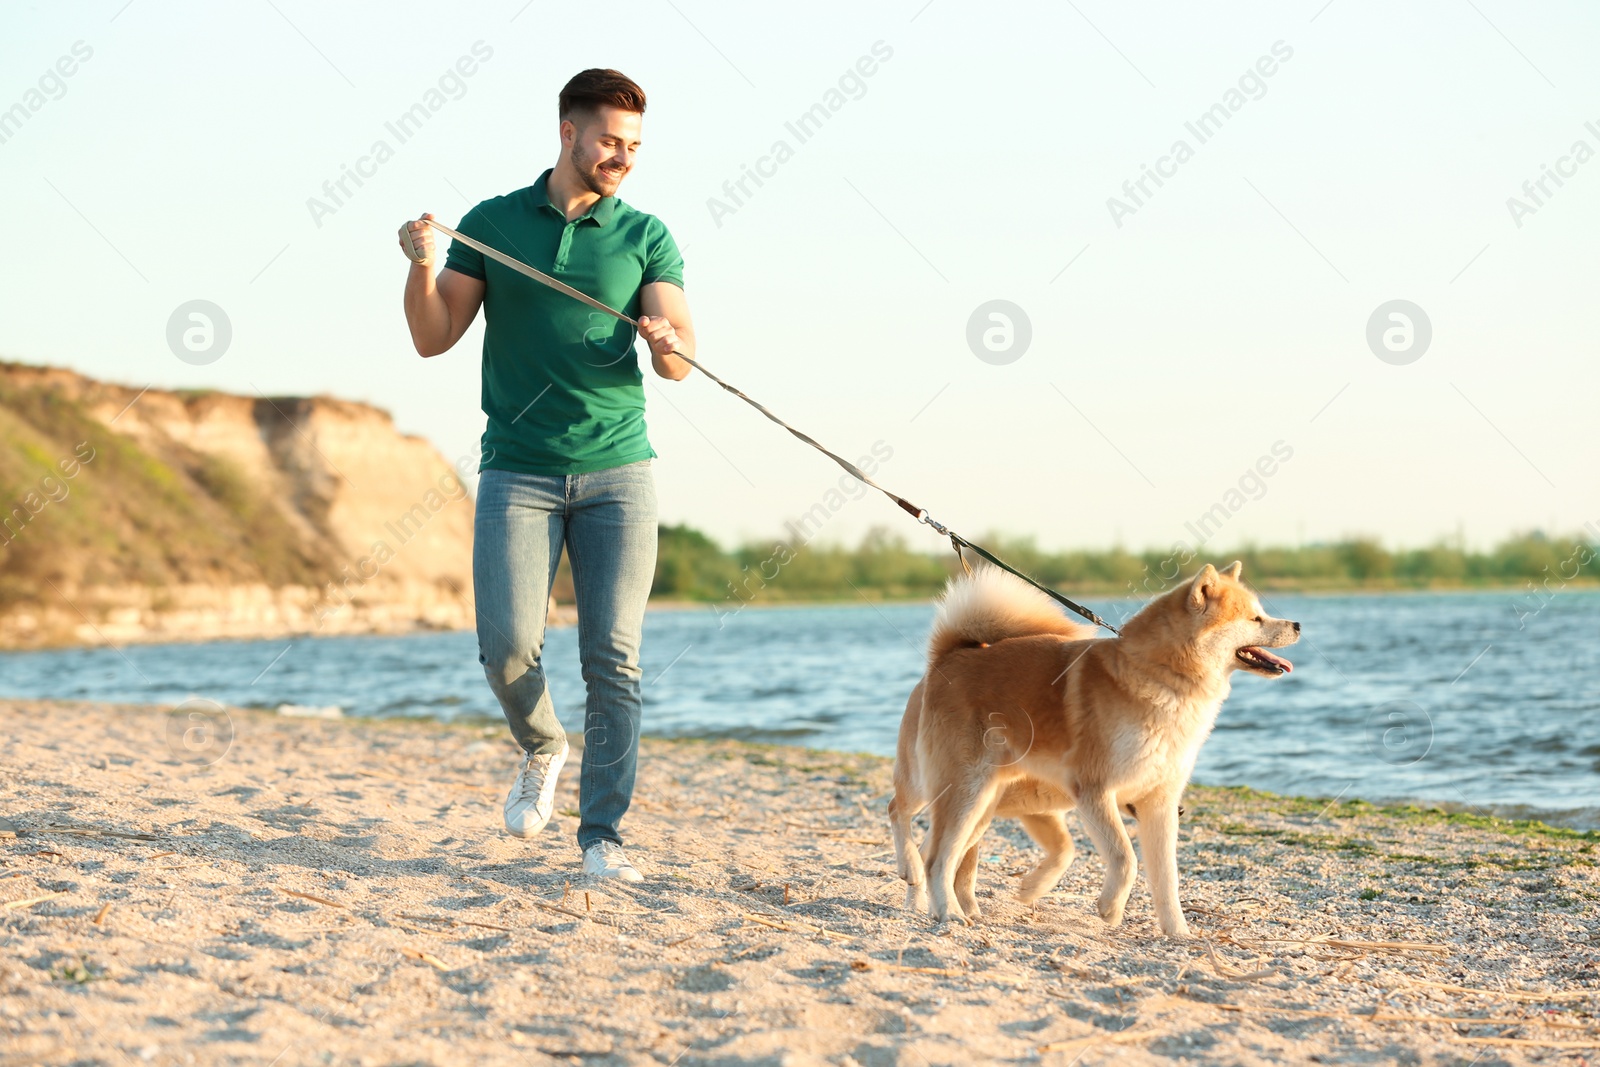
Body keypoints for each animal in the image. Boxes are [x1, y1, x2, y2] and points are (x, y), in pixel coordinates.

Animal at [889, 563, 1299, 940]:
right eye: (1256, 617)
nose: (1296, 624)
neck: (1159, 676)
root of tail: (948, 658)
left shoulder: (1160, 803)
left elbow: (1167, 880)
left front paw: (1178, 932)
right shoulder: (1094, 790)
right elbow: (1125, 857)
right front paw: (1110, 908)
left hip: (981, 804)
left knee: (939, 851)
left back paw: (935, 904)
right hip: (957, 789)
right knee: (916, 834)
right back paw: (943, 906)